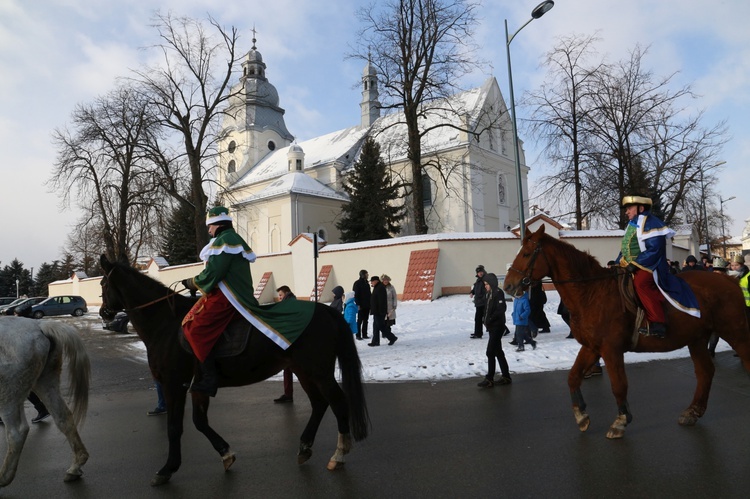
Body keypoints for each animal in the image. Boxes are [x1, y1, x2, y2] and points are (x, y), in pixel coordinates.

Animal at [0, 318, 90, 486]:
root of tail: (39, 326)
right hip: (45, 382)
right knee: (63, 418)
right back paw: (75, 468)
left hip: (8, 395)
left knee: (17, 432)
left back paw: (3, 478)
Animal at [100, 256, 370, 486]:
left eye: (103, 283)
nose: (104, 313)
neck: (166, 322)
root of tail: (327, 311)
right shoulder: (198, 387)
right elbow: (200, 422)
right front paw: (225, 453)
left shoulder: (173, 384)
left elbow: (175, 427)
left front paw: (167, 469)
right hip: (303, 371)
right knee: (319, 404)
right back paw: (305, 447)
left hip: (318, 372)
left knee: (338, 402)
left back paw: (338, 454)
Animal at [502, 225, 750, 440]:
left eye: (526, 253)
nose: (508, 286)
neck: (591, 292)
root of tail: (730, 280)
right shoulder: (592, 347)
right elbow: (573, 377)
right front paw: (581, 416)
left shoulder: (611, 349)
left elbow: (619, 385)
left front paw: (620, 421)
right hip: (696, 339)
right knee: (705, 372)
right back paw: (693, 411)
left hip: (735, 332)